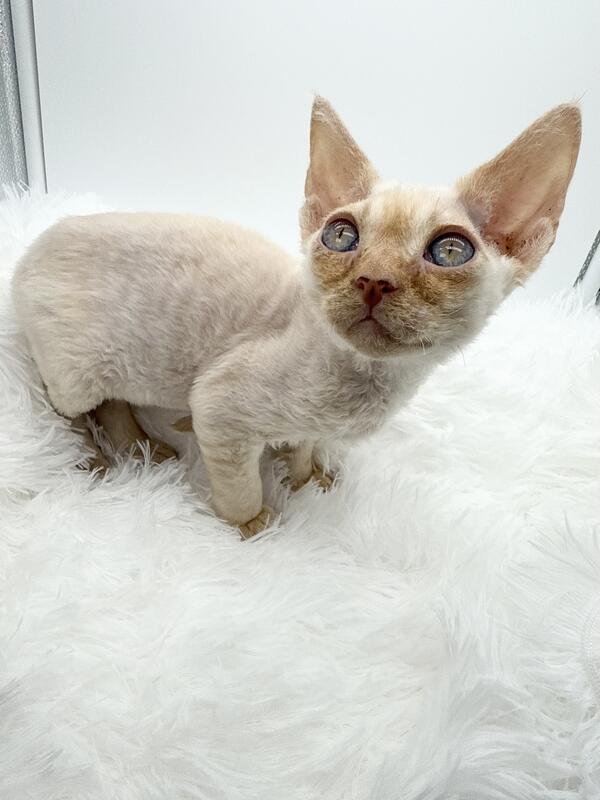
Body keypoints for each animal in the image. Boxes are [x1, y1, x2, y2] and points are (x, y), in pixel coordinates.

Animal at [12, 97, 581, 538]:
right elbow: (239, 487)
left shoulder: (297, 420)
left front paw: (306, 479)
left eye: (448, 252)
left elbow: (305, 444)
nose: (373, 279)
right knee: (75, 410)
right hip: (75, 371)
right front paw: (256, 527)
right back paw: (95, 459)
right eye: (342, 236)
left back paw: (142, 444)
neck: (364, 383)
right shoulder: (219, 406)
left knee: (115, 400)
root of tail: (33, 244)